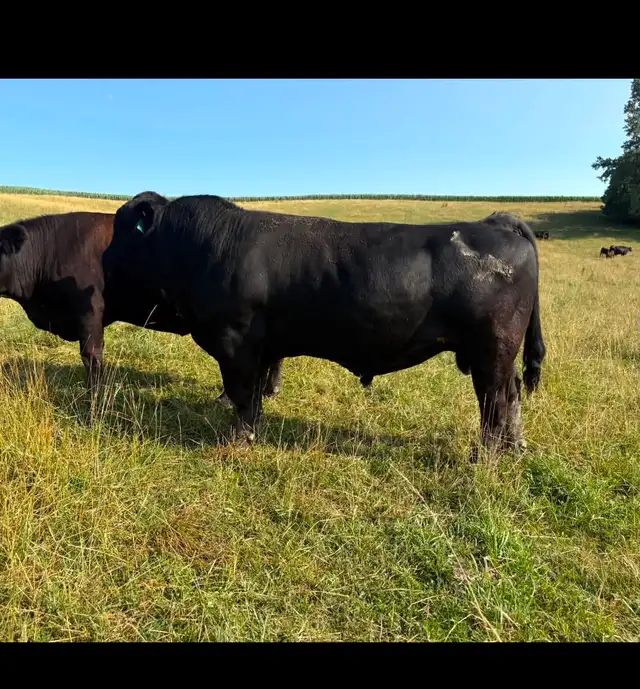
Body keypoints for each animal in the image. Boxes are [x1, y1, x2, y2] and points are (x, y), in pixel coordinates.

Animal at [111, 193, 546, 461]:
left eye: (121, 233)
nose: (105, 259)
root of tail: (496, 223)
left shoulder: (235, 341)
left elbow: (242, 394)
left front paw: (237, 440)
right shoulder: (263, 344)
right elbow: (256, 390)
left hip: (492, 350)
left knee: (495, 403)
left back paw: (485, 459)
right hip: (498, 354)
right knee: (512, 395)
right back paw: (515, 447)